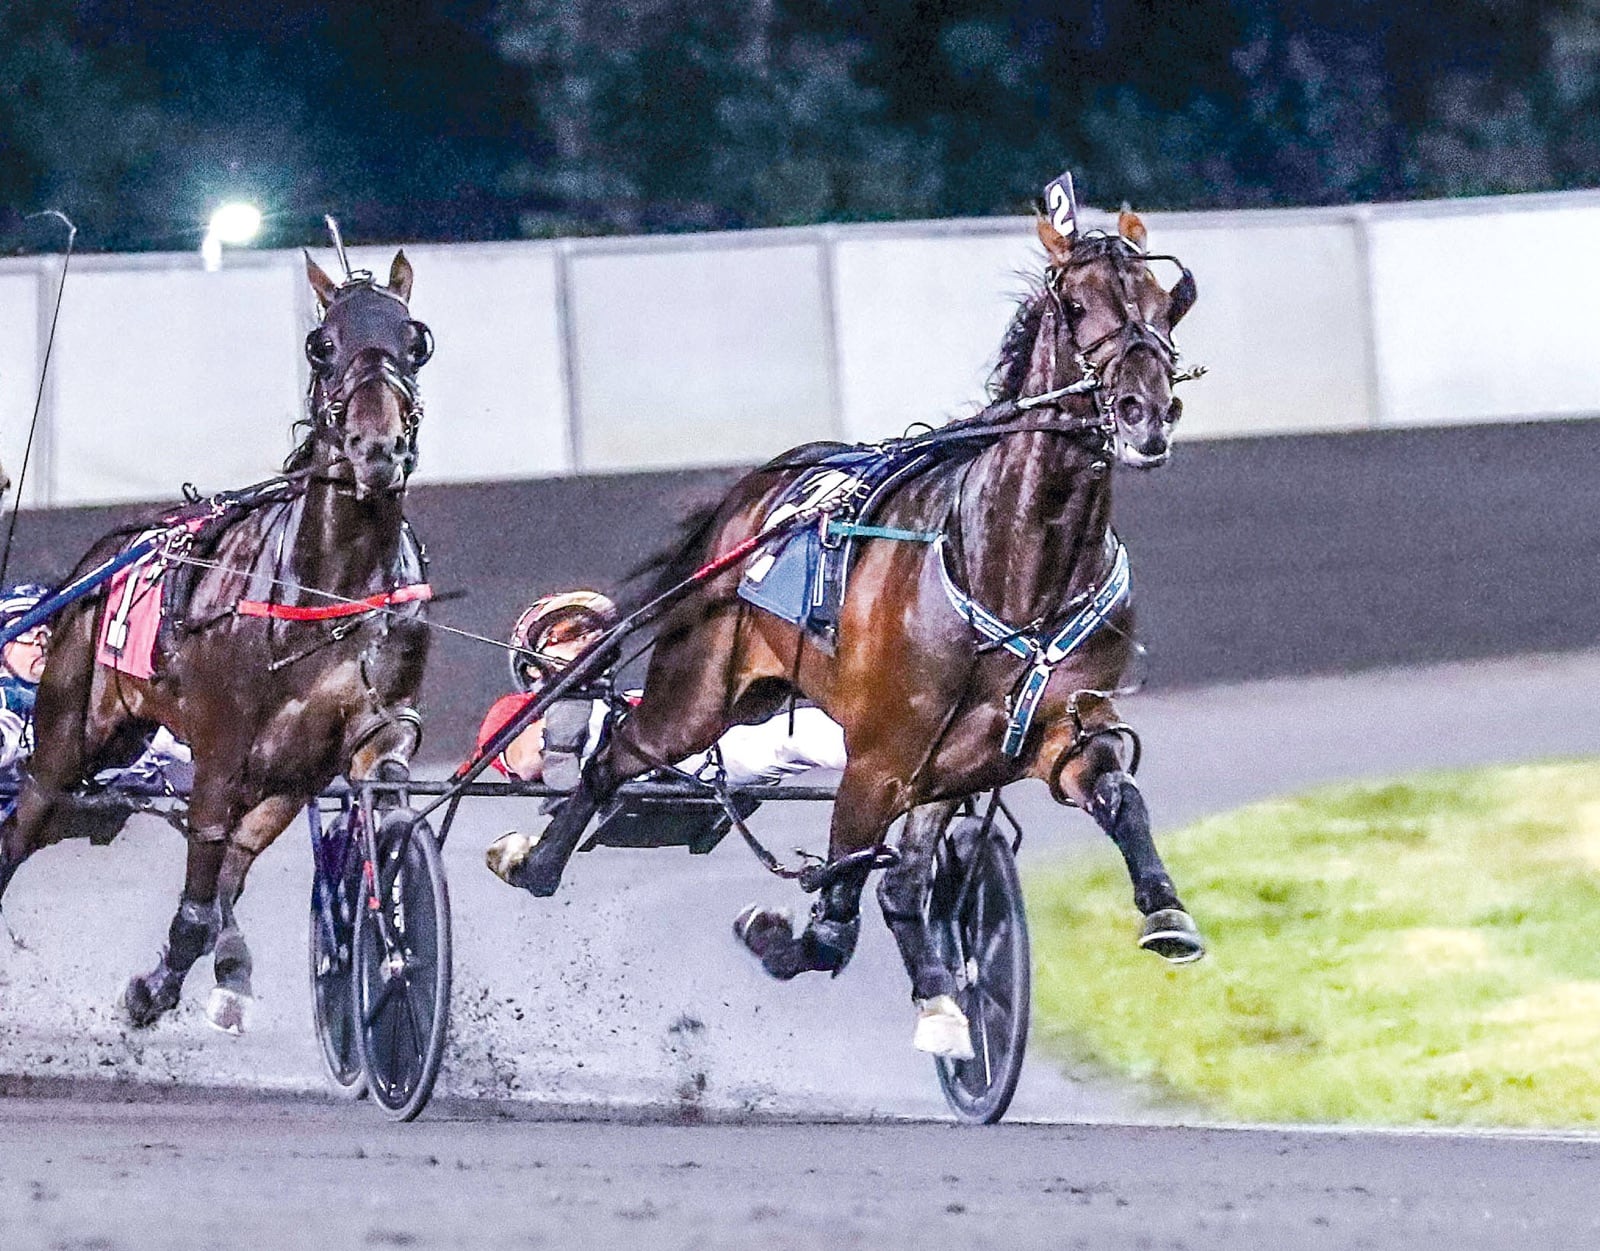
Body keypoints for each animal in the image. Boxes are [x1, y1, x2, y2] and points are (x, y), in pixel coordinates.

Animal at [0, 249, 435, 1036]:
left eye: (415, 340)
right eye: (321, 344)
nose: (376, 448)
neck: (332, 583)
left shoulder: (333, 751)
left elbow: (367, 807)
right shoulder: (224, 752)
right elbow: (203, 879)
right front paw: (164, 986)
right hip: (65, 743)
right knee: (21, 828)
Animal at [492, 207, 1203, 1049]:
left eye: (1165, 305)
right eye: (1077, 305)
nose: (1144, 412)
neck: (1011, 566)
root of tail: (760, 486)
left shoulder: (1047, 734)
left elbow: (1115, 797)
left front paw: (1166, 912)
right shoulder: (882, 755)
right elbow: (837, 910)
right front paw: (785, 935)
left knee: (904, 872)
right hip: (699, 694)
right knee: (615, 754)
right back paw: (533, 859)